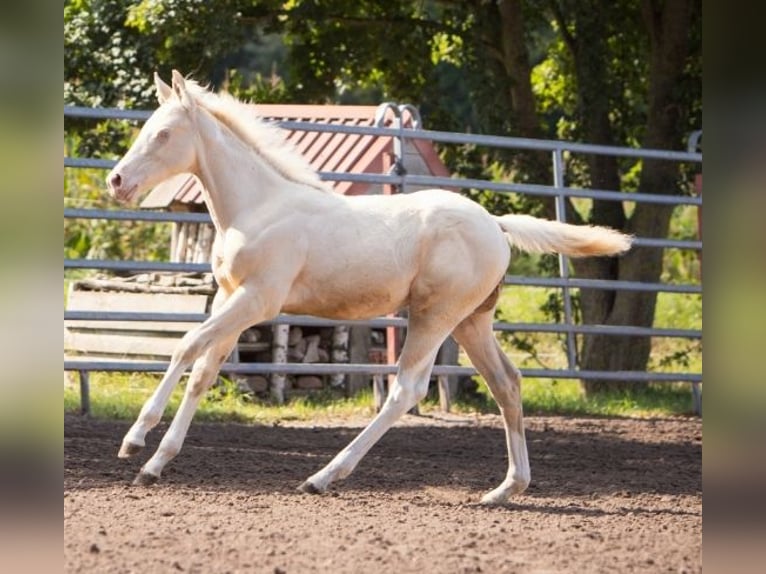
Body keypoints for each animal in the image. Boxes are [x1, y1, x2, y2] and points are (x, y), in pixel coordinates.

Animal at [106, 70, 631, 504]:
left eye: (163, 134)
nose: (116, 181)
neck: (260, 208)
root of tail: (496, 225)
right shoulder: (234, 299)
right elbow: (203, 371)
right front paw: (155, 464)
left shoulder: (258, 300)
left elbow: (185, 346)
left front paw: (134, 440)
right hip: (471, 321)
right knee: (507, 383)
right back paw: (505, 489)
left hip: (434, 316)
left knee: (406, 390)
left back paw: (323, 477)